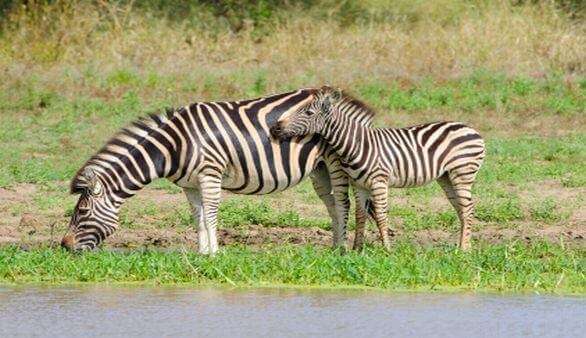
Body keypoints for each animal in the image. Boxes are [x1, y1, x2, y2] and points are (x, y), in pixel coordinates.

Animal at [270, 86, 484, 251]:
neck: (357, 144)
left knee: (468, 208)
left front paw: (387, 249)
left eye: (308, 113)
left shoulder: (379, 181)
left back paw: (465, 249)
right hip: (446, 176)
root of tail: (472, 129)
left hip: (462, 172)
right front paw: (357, 248)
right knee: (460, 208)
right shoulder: (359, 185)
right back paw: (461, 245)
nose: (275, 128)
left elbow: (381, 215)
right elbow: (360, 214)